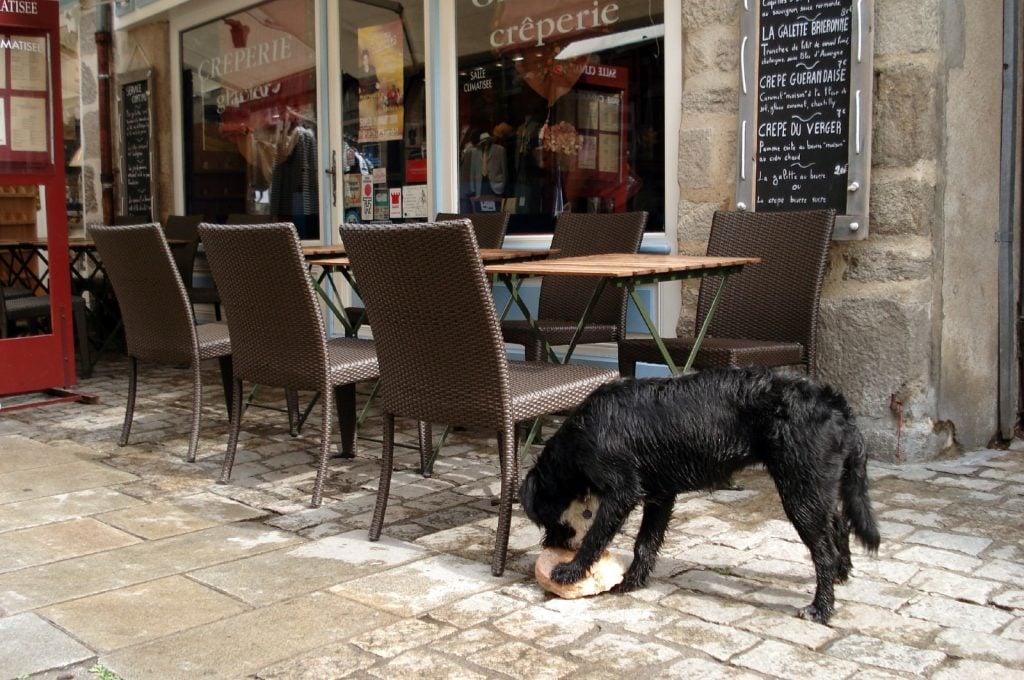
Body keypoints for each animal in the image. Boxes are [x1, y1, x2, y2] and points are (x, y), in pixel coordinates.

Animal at [520, 368, 880, 622]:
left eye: (546, 520)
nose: (551, 545)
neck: (579, 436)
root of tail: (835, 404)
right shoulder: (660, 496)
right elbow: (645, 544)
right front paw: (633, 582)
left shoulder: (621, 493)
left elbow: (596, 537)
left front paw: (572, 571)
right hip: (815, 488)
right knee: (838, 525)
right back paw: (842, 575)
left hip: (799, 493)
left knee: (824, 550)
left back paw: (821, 607)